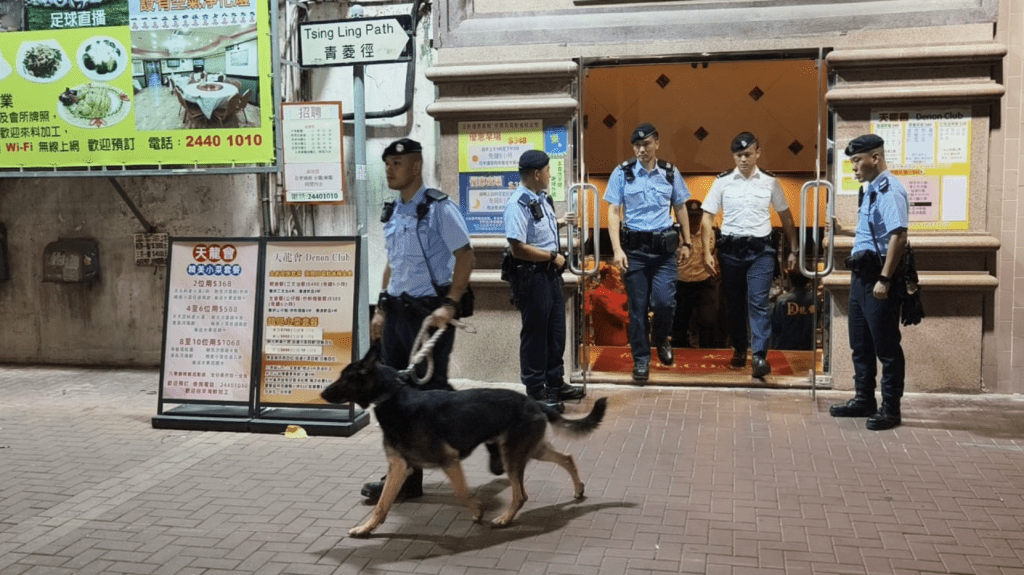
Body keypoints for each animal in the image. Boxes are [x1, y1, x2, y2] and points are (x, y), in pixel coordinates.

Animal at [321, 341, 606, 536]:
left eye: (344, 378)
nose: (322, 392)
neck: (393, 397)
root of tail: (535, 402)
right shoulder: (399, 467)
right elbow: (382, 505)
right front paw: (366, 528)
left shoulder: (449, 460)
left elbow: (462, 492)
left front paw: (477, 510)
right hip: (529, 450)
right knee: (566, 457)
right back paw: (578, 488)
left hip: (513, 455)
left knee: (521, 494)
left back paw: (505, 519)